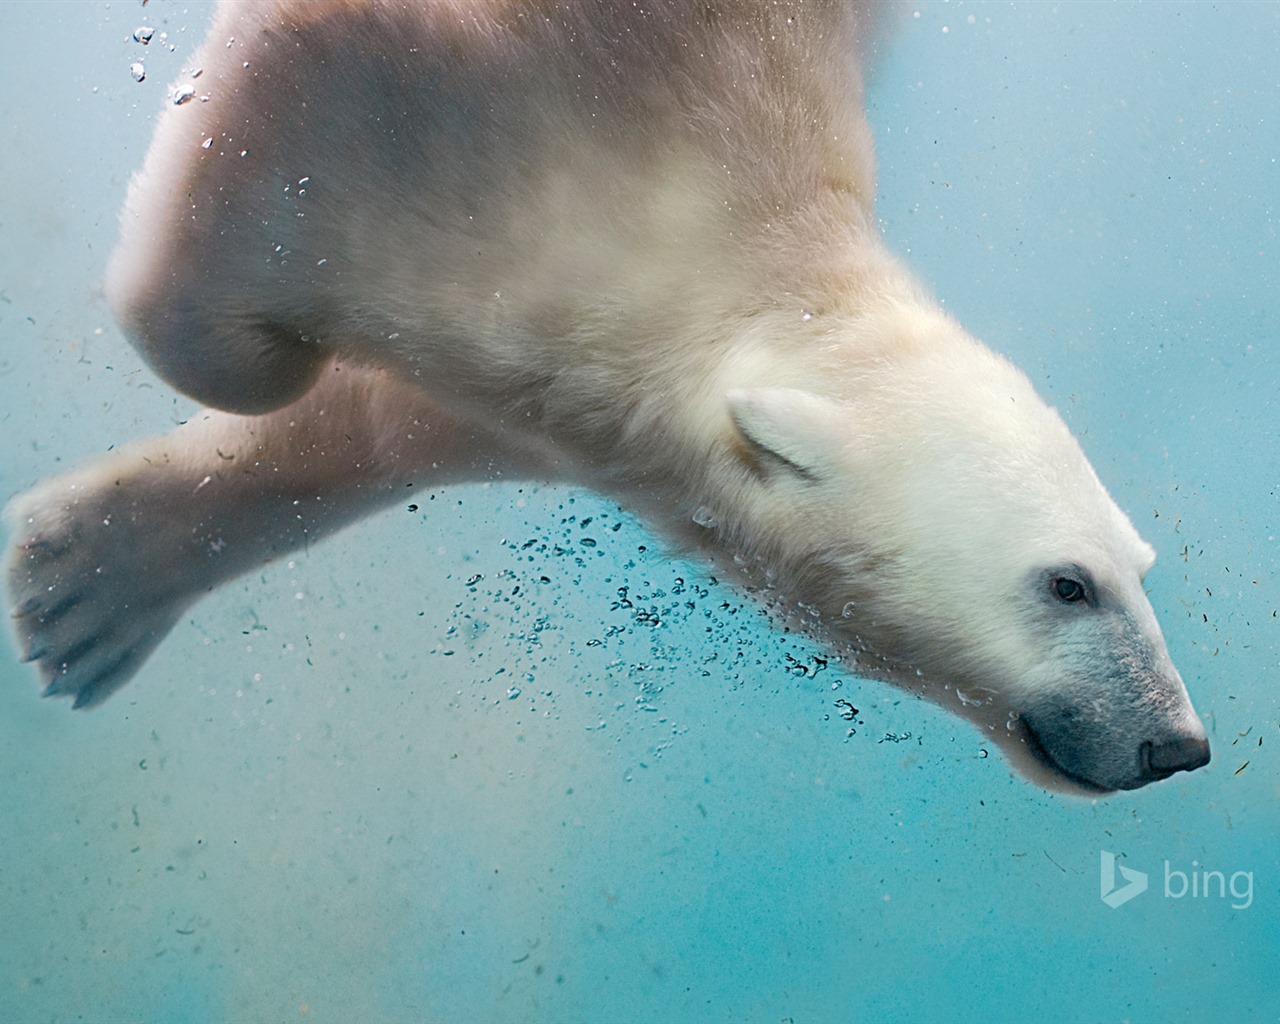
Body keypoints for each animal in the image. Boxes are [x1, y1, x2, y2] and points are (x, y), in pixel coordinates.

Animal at [5, 2, 1208, 793]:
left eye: (1137, 567)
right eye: (1066, 584)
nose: (1177, 744)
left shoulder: (559, 376)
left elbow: (398, 415)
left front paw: (81, 587)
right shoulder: (457, 100)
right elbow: (247, 309)